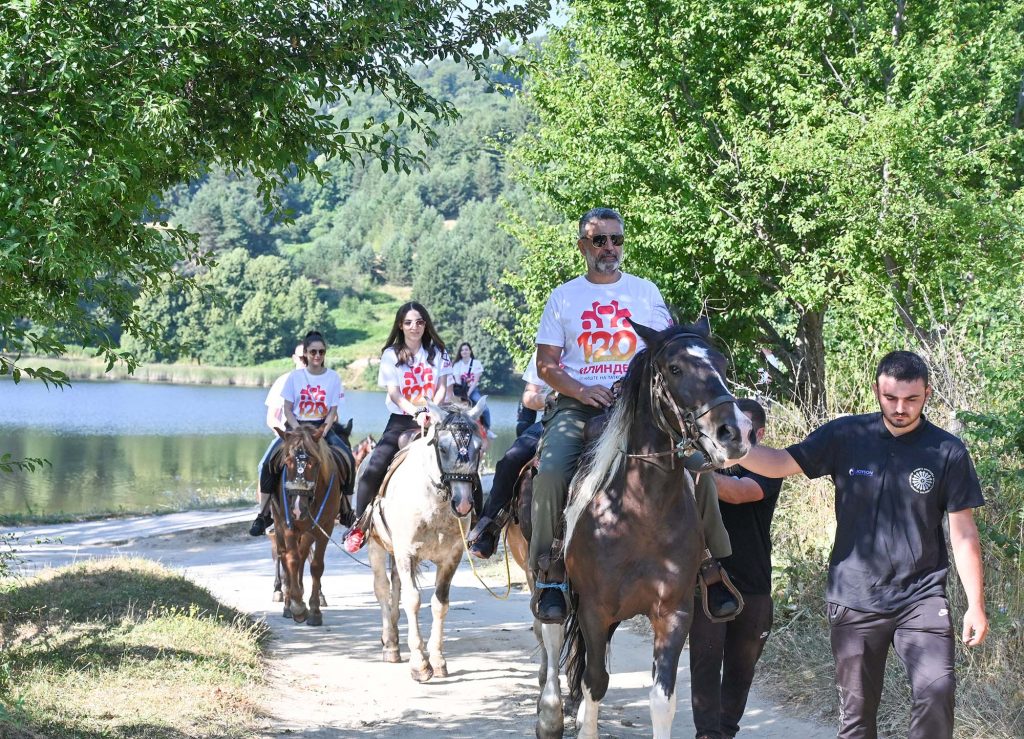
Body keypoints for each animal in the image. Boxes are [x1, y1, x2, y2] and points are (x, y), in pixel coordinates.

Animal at [548, 317, 749, 736]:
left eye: (722, 364)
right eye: (675, 369)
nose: (734, 433)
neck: (639, 514)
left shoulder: (673, 612)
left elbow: (662, 699)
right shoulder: (594, 609)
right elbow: (595, 683)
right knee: (551, 640)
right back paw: (550, 713)